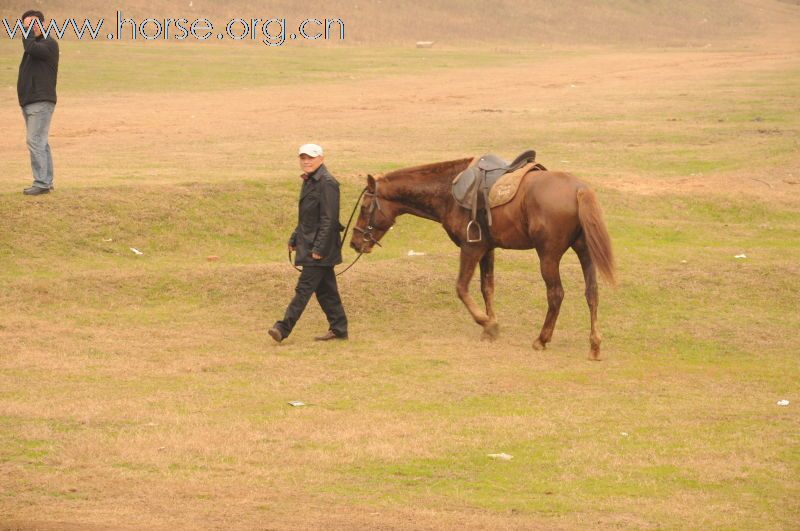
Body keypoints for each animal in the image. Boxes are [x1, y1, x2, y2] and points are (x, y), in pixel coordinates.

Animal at [346, 156, 616, 360]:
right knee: (592, 293)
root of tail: (579, 189)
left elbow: (461, 288)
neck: (448, 192)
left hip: (548, 256)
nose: (355, 243)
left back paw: (542, 339)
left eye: (364, 207)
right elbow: (487, 287)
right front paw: (490, 324)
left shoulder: (471, 248)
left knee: (556, 294)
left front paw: (487, 324)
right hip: (584, 252)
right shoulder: (487, 248)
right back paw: (594, 344)